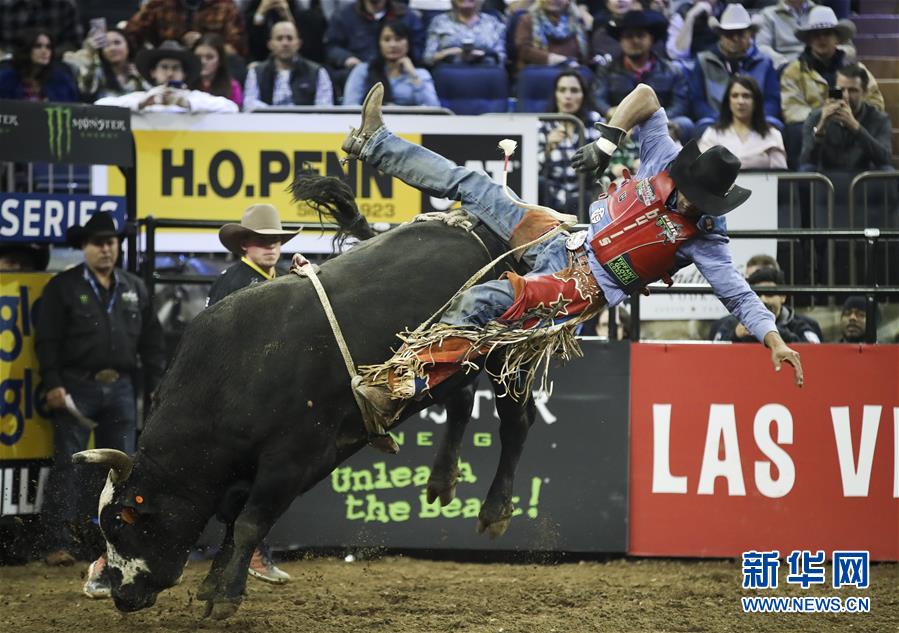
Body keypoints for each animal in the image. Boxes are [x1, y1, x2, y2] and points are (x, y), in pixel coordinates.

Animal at [74, 174, 542, 618]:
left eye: (121, 523)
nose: (121, 595)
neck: (233, 380)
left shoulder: (292, 460)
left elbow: (249, 523)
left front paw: (226, 594)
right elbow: (233, 522)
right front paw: (212, 584)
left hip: (507, 352)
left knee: (516, 423)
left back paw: (494, 511)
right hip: (453, 358)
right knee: (460, 402)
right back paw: (441, 481)